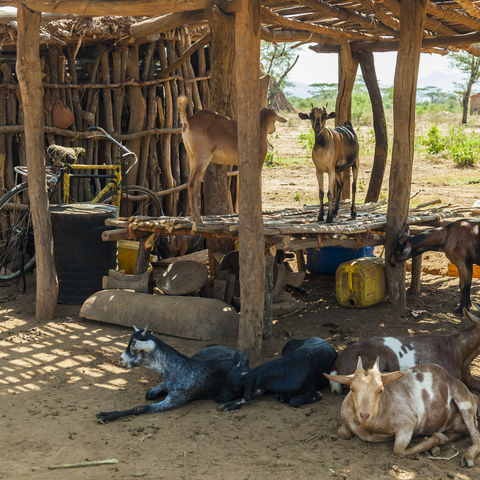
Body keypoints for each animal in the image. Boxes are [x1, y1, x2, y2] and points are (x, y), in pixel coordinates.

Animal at [96, 326, 249, 424]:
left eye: (134, 348)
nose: (121, 359)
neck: (181, 370)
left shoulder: (174, 400)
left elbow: (140, 408)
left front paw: (105, 416)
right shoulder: (165, 384)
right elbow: (148, 394)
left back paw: (230, 405)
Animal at [178, 95, 286, 223]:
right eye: (274, 120)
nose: (273, 130)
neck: (259, 128)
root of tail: (188, 121)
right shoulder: (258, 162)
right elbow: (257, 183)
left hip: (192, 159)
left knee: (189, 182)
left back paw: (195, 218)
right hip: (202, 159)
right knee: (193, 183)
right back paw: (199, 219)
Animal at [324, 360, 480, 464]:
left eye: (380, 390)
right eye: (352, 389)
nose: (364, 415)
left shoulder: (407, 423)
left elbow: (398, 451)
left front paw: (439, 438)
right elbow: (342, 432)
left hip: (464, 399)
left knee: (476, 434)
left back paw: (467, 456)